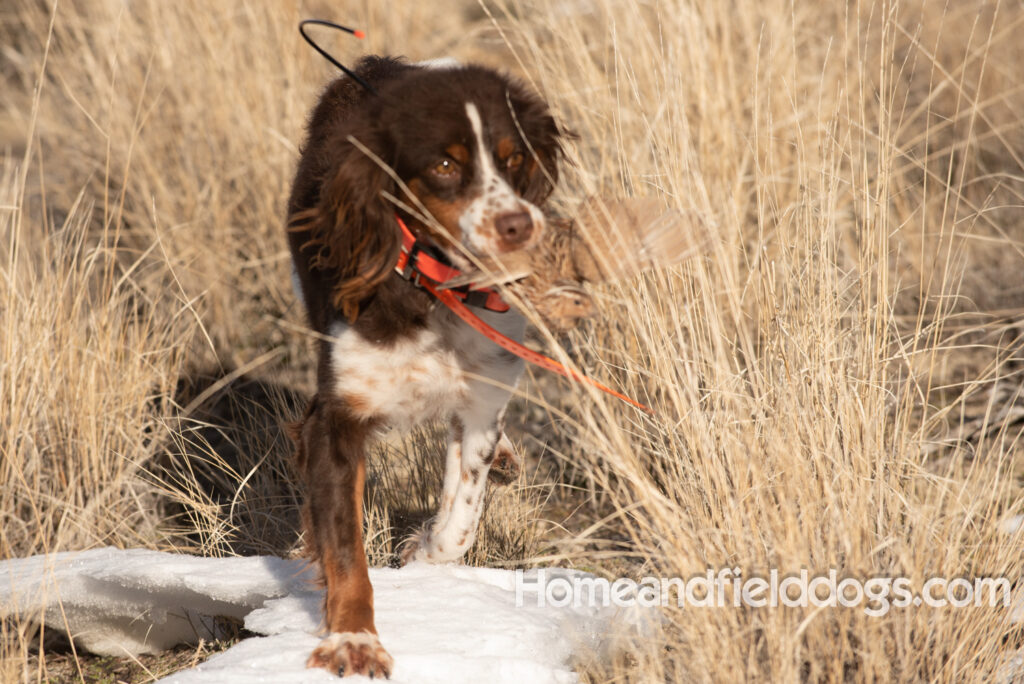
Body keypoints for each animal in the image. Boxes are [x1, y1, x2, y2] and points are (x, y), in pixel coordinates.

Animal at [284, 57, 565, 679]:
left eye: (514, 158)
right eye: (443, 165)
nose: (520, 225)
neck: (436, 293)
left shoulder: (483, 394)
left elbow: (461, 518)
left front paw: (422, 552)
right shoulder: (335, 418)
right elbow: (345, 549)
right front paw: (354, 641)